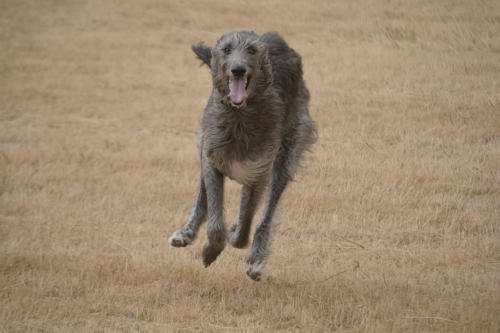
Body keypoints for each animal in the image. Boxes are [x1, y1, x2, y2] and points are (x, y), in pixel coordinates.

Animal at [168, 30, 316, 280]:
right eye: (227, 49)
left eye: (252, 50)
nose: (238, 69)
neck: (239, 115)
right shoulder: (212, 158)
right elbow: (215, 219)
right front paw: (210, 250)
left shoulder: (257, 172)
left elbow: (245, 228)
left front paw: (234, 233)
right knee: (203, 195)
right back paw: (186, 232)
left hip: (287, 151)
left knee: (266, 212)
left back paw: (255, 260)